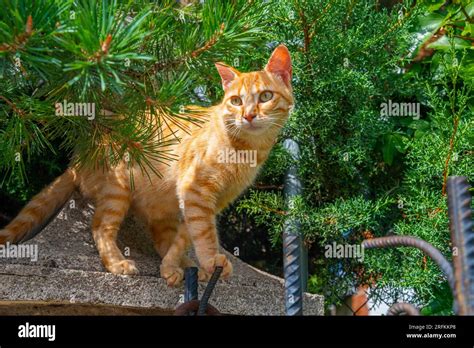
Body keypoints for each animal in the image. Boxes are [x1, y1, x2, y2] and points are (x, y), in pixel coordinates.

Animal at [0, 45, 292, 286]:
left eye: (265, 96)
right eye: (236, 101)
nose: (248, 115)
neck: (246, 150)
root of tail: (81, 158)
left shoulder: (207, 200)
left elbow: (187, 235)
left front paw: (173, 266)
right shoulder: (196, 191)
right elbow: (205, 234)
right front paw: (210, 259)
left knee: (163, 239)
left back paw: (182, 264)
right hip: (118, 190)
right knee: (101, 228)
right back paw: (118, 263)